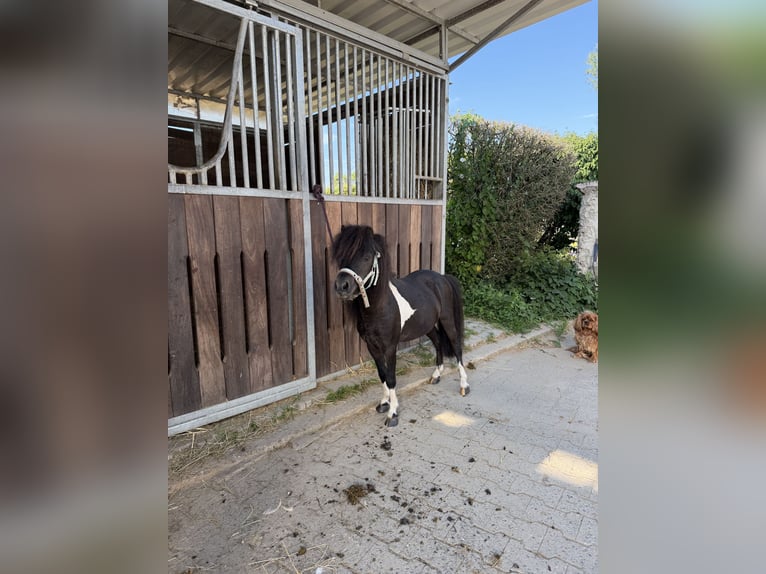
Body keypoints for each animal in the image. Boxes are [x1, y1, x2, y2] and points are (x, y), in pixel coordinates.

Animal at [331, 224, 469, 427]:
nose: (342, 286)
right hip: (427, 326)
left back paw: (464, 386)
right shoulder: (372, 346)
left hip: (447, 320)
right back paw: (436, 376)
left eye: (366, 257)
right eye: (341, 255)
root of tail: (441, 278)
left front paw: (393, 413)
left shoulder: (390, 347)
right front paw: (384, 403)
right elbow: (382, 374)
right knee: (438, 343)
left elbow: (391, 378)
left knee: (457, 347)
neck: (380, 307)